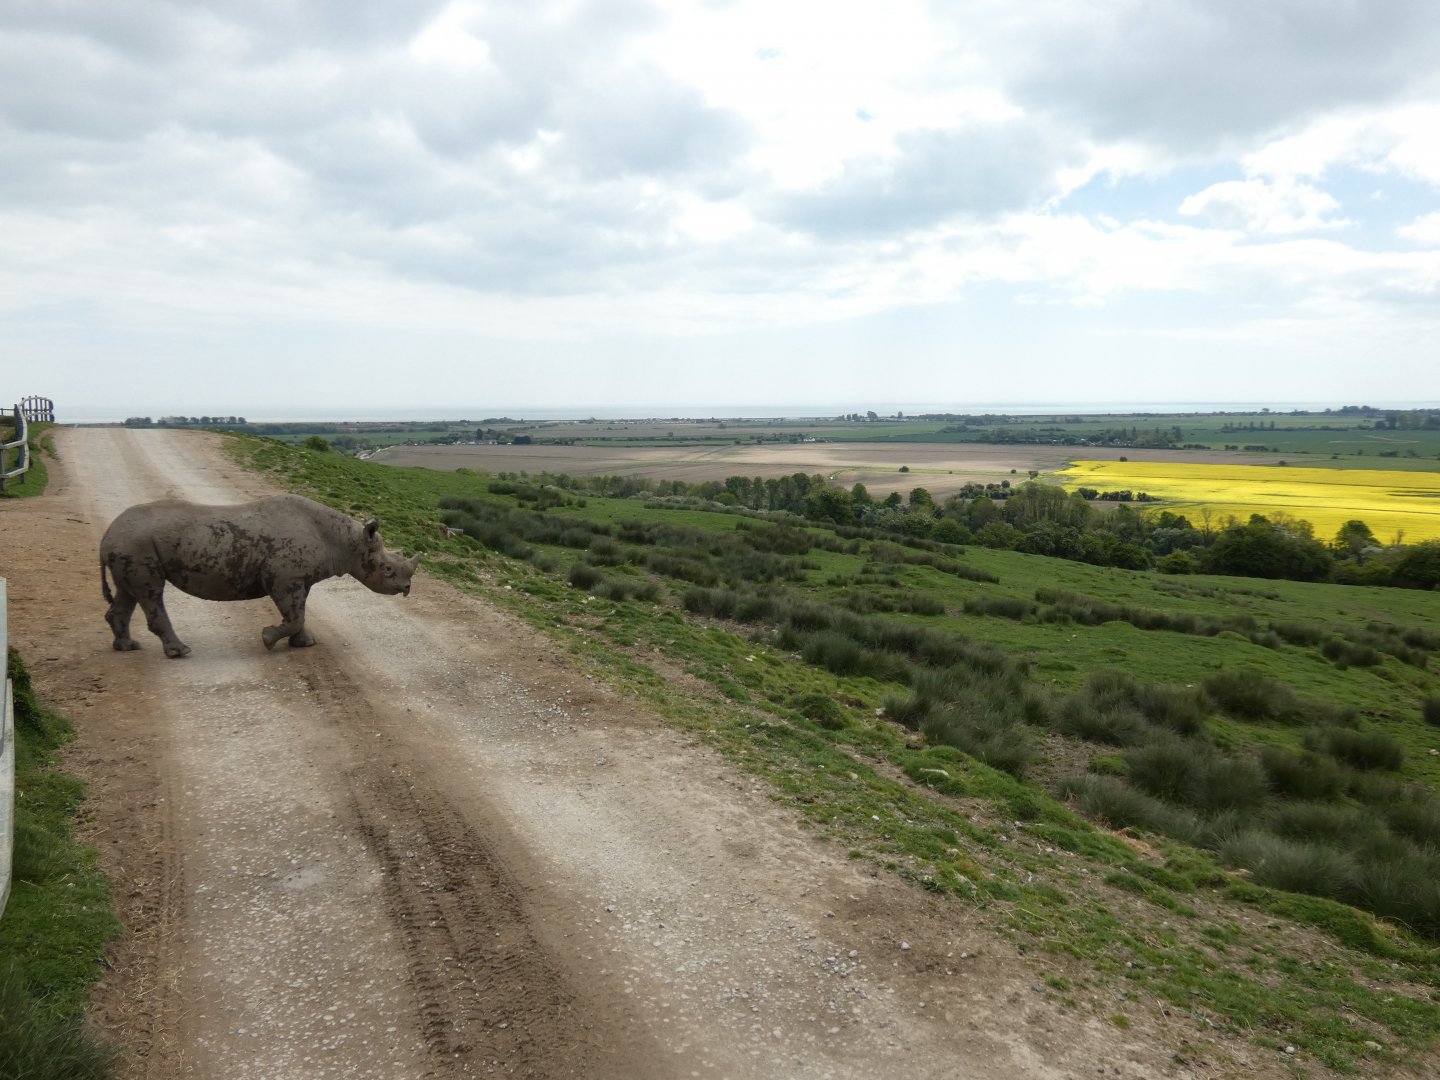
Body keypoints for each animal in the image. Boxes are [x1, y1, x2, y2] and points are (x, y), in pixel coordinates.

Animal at [100, 493, 420, 658]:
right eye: (386, 569)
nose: (407, 587)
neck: (346, 542)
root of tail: (107, 535)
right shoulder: (283, 577)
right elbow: (294, 615)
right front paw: (268, 639)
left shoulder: (297, 579)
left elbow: (298, 613)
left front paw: (304, 643)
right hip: (136, 545)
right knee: (151, 592)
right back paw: (181, 652)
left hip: (130, 547)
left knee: (129, 592)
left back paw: (127, 647)